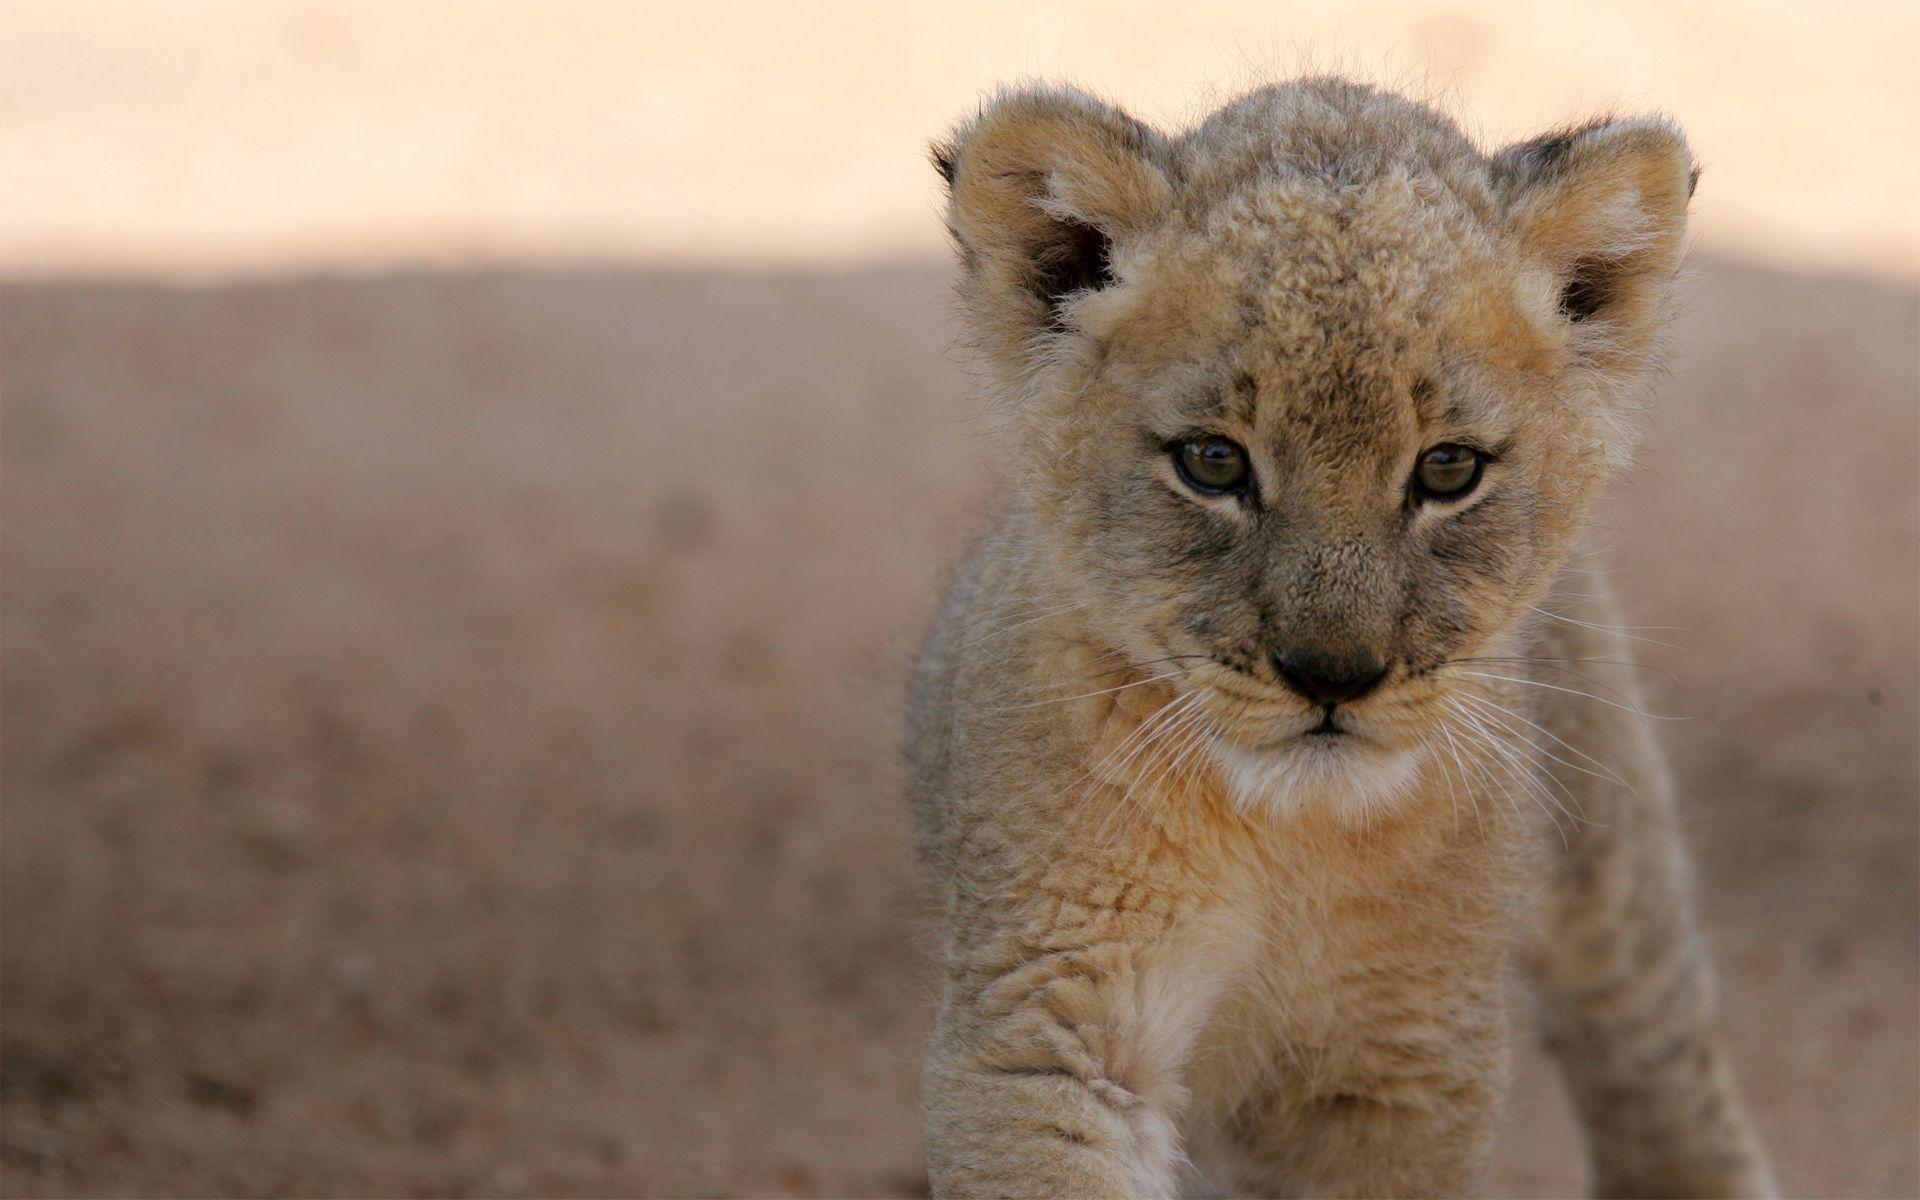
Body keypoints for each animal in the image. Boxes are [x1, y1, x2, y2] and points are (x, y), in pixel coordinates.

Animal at [905, 78, 1774, 1198]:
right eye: (1211, 462)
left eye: (1448, 469)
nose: (1333, 675)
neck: (1286, 839)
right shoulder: (1048, 1019)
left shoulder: (1402, 1061)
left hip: (1609, 849)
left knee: (1655, 1053)